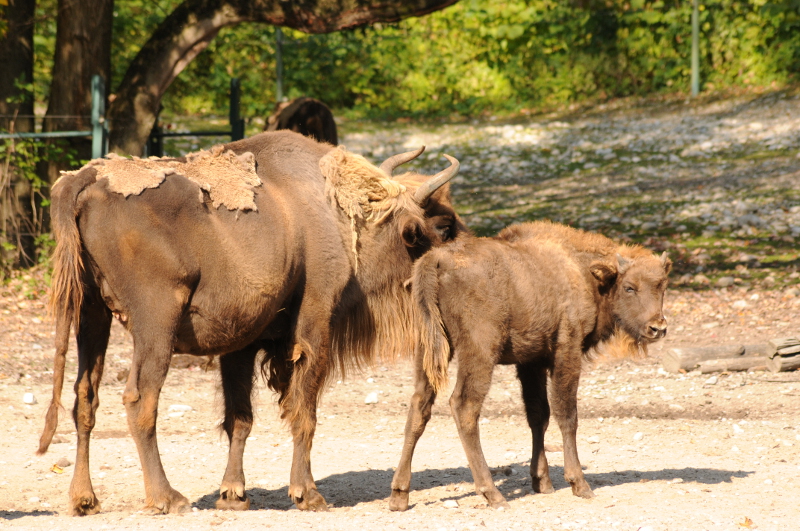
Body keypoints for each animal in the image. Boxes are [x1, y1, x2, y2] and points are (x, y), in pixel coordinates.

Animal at [38, 131, 464, 515]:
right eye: (420, 233)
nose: (438, 272)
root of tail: (83, 181)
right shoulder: (313, 329)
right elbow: (303, 411)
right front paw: (308, 494)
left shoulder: (238, 344)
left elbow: (239, 418)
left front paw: (233, 495)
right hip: (155, 323)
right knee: (140, 399)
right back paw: (167, 498)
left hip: (91, 315)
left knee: (84, 398)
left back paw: (85, 500)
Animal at [389, 221, 670, 510]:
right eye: (629, 287)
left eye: (663, 286)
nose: (658, 328)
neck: (583, 271)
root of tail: (436, 260)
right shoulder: (566, 352)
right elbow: (567, 415)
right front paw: (579, 484)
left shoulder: (530, 362)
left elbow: (539, 415)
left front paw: (542, 481)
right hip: (479, 353)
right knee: (464, 407)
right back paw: (493, 494)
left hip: (428, 352)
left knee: (419, 407)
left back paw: (399, 494)